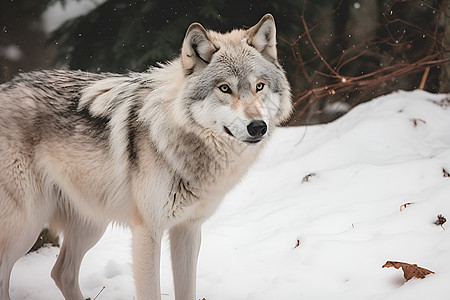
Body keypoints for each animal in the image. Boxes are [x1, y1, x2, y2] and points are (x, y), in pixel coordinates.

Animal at [0, 14, 292, 300]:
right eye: (224, 89)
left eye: (259, 86)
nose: (258, 126)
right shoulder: (147, 231)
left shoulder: (188, 230)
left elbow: (187, 291)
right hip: (26, 226)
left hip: (92, 224)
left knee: (62, 273)